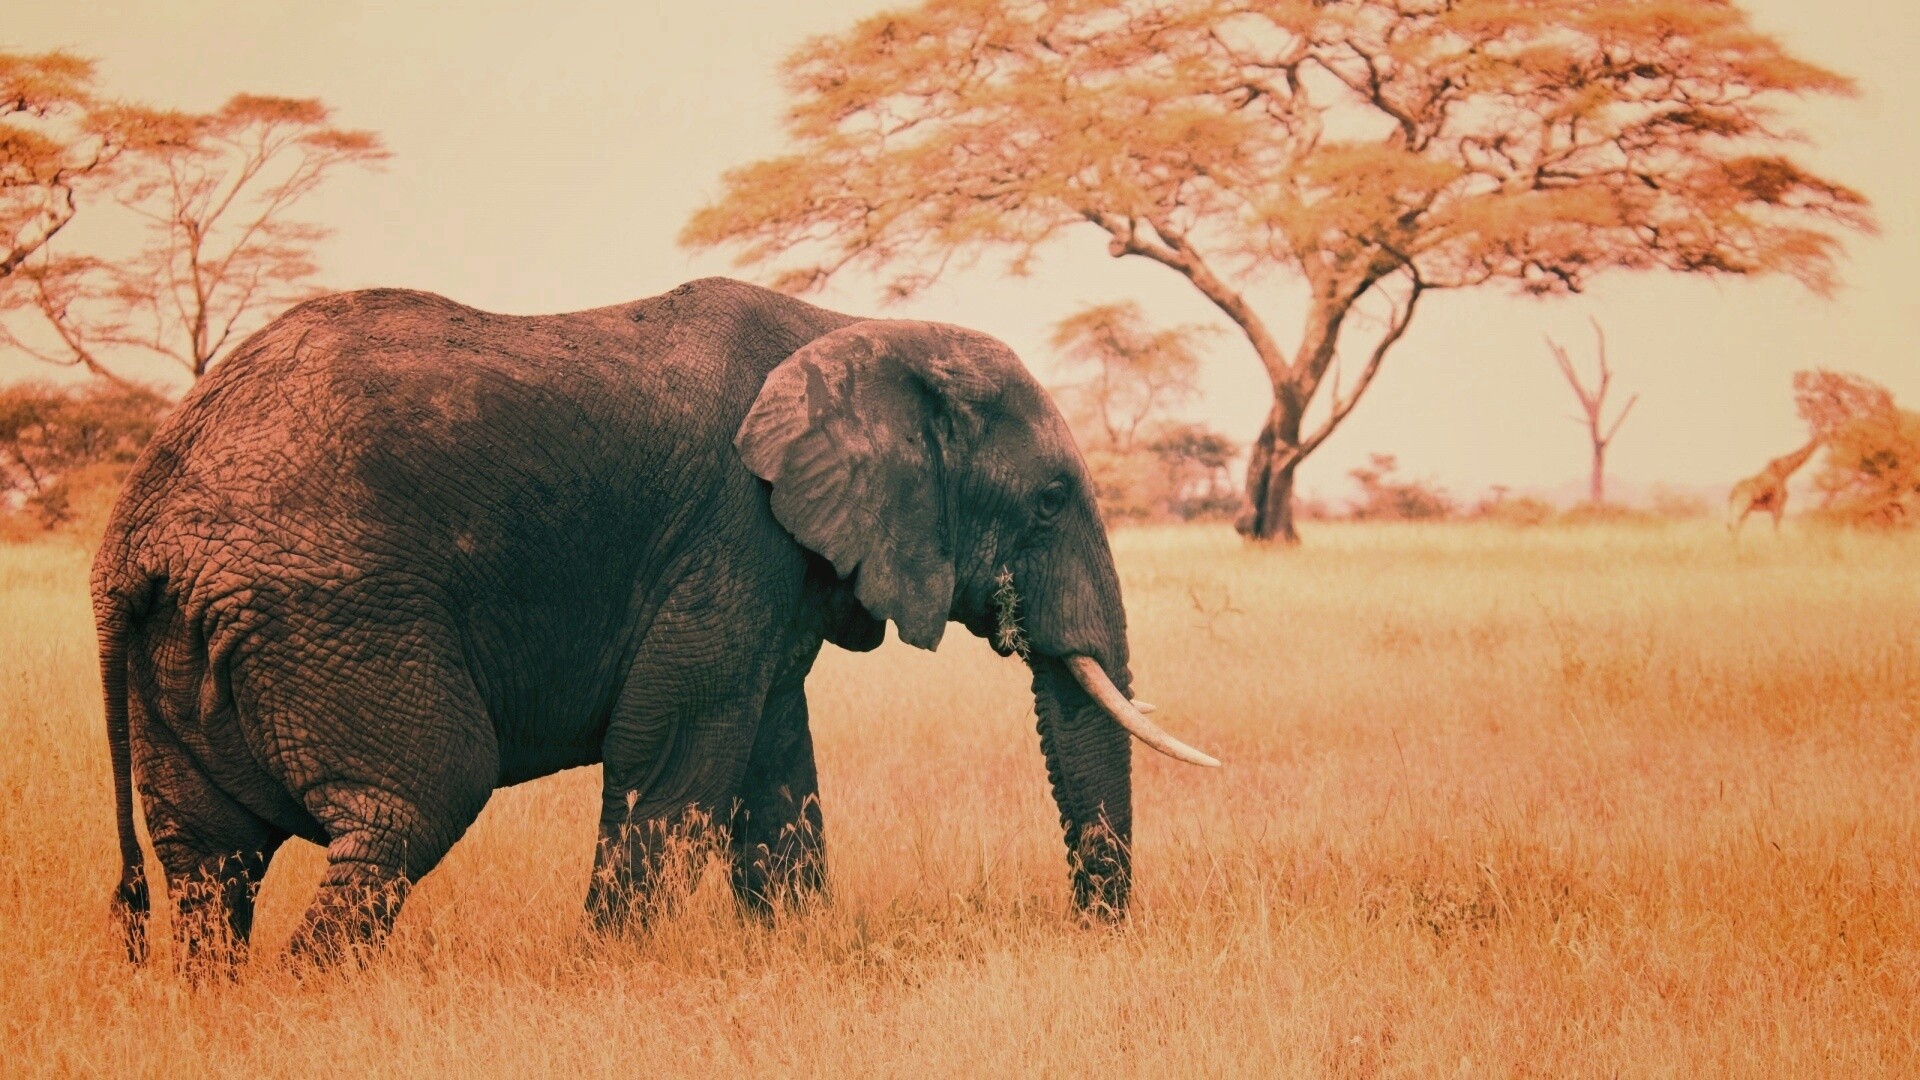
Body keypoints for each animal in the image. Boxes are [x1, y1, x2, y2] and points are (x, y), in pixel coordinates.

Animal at [93, 277, 1217, 974]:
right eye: (1049, 502)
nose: (1093, 937)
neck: (854, 326)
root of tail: (136, 532)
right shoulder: (733, 529)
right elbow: (674, 751)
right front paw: (609, 973)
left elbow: (773, 762)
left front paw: (793, 953)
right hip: (334, 610)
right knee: (411, 806)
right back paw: (315, 998)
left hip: (195, 642)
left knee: (208, 861)